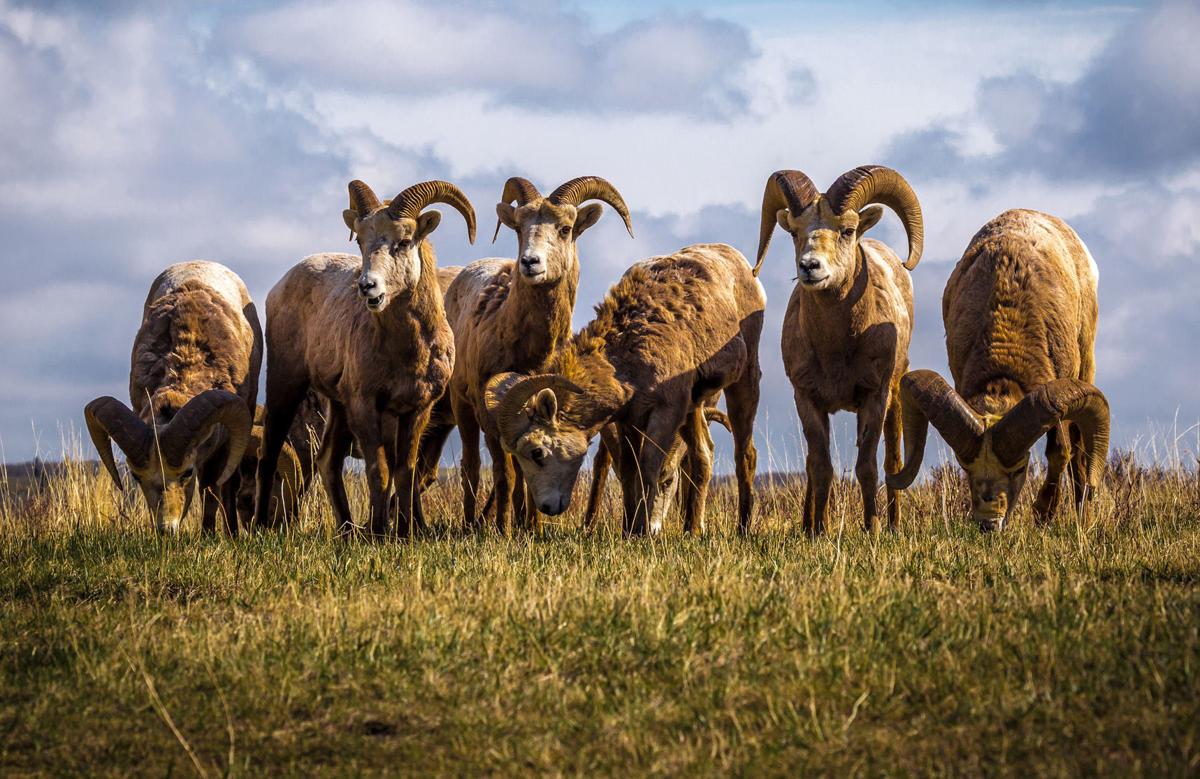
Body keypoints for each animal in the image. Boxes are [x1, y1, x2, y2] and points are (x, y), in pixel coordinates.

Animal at [254, 180, 475, 537]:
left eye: (404, 241)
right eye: (360, 240)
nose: (368, 287)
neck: (407, 354)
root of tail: (281, 284)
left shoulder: (417, 411)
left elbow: (406, 473)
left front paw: (404, 533)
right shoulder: (366, 405)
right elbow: (380, 472)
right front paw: (380, 534)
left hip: (338, 408)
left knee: (328, 461)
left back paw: (347, 530)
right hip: (286, 384)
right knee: (270, 453)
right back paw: (260, 526)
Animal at [417, 176, 634, 535]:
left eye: (565, 228)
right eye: (519, 227)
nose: (530, 263)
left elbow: (527, 469)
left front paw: (532, 527)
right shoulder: (490, 413)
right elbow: (505, 472)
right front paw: (505, 529)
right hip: (463, 407)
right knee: (472, 466)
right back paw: (472, 524)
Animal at [756, 165, 924, 535]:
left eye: (846, 230)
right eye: (795, 232)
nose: (810, 267)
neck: (836, 349)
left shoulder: (874, 398)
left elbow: (867, 466)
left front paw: (872, 527)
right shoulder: (808, 400)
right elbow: (820, 467)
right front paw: (819, 530)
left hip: (895, 396)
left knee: (893, 461)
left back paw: (893, 525)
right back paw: (807, 525)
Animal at [886, 209, 1109, 532]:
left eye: (1019, 468)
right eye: (965, 466)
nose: (990, 524)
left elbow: (1060, 452)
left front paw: (1044, 515)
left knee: (1079, 453)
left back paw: (1083, 518)